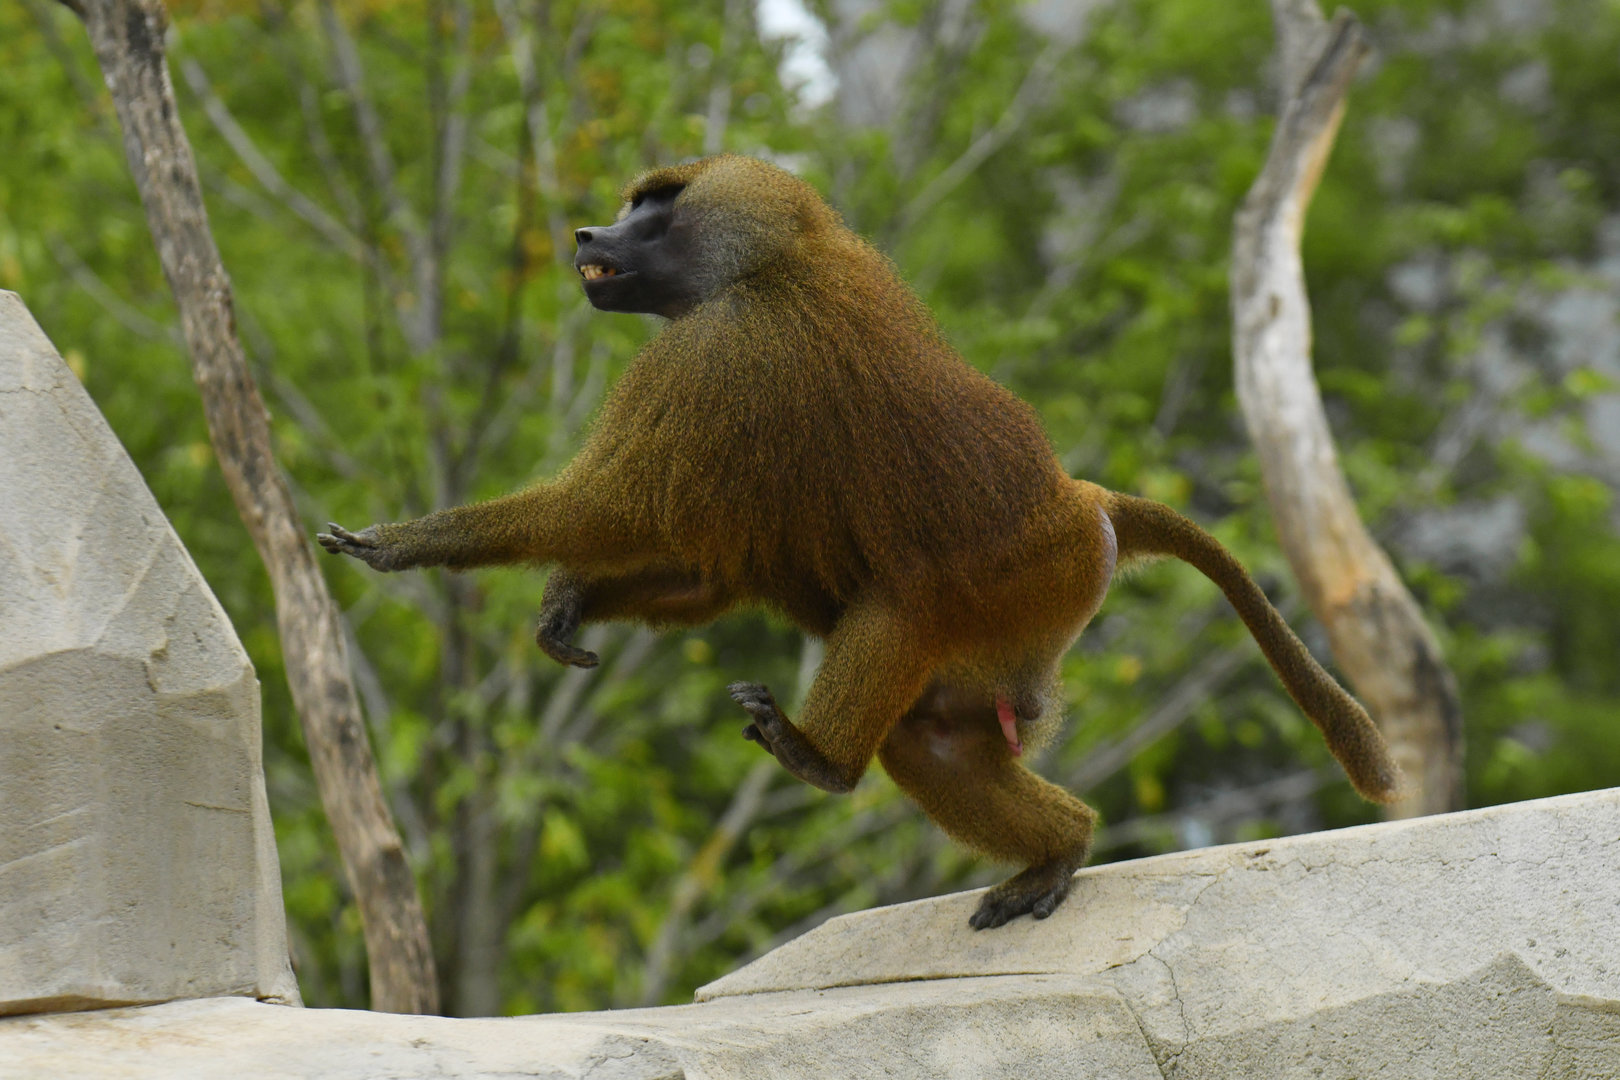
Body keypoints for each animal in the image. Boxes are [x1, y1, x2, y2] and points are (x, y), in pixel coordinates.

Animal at [319, 154, 1401, 930]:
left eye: (655, 207)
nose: (589, 232)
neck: (773, 259)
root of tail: (1082, 498)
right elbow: (703, 568)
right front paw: (569, 604)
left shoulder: (717, 353)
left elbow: (610, 510)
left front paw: (398, 546)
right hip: (1036, 615)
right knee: (934, 742)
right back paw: (1060, 848)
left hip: (1027, 577)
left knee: (904, 607)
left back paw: (816, 759)